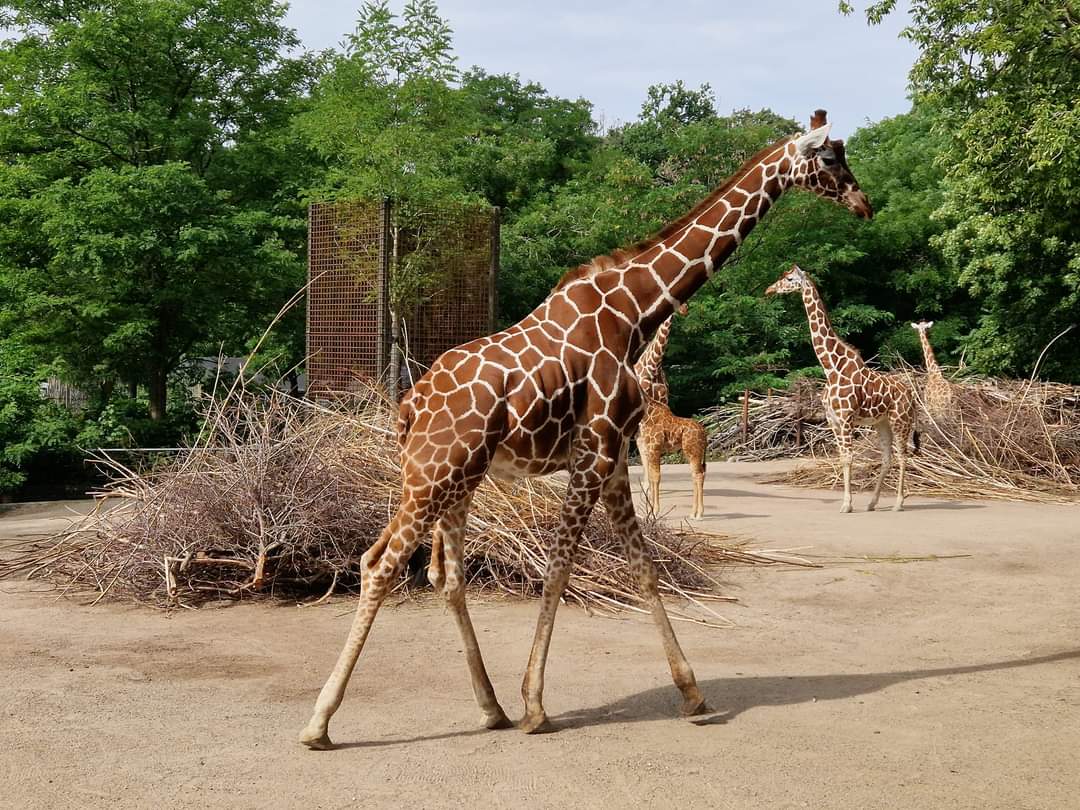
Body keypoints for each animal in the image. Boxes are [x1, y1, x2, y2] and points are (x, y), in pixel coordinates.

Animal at [634, 304, 707, 519]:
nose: (683, 310)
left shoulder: (654, 446)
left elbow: (656, 476)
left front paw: (654, 510)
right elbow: (653, 476)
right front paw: (649, 509)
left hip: (692, 451)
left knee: (697, 474)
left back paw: (696, 513)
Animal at [765, 264, 917, 514]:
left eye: (789, 279)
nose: (769, 289)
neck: (830, 367)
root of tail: (911, 394)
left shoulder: (846, 418)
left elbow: (849, 458)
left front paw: (847, 504)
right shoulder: (833, 420)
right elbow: (842, 458)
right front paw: (848, 503)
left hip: (900, 420)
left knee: (903, 456)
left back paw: (898, 503)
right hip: (882, 422)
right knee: (887, 458)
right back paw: (872, 503)